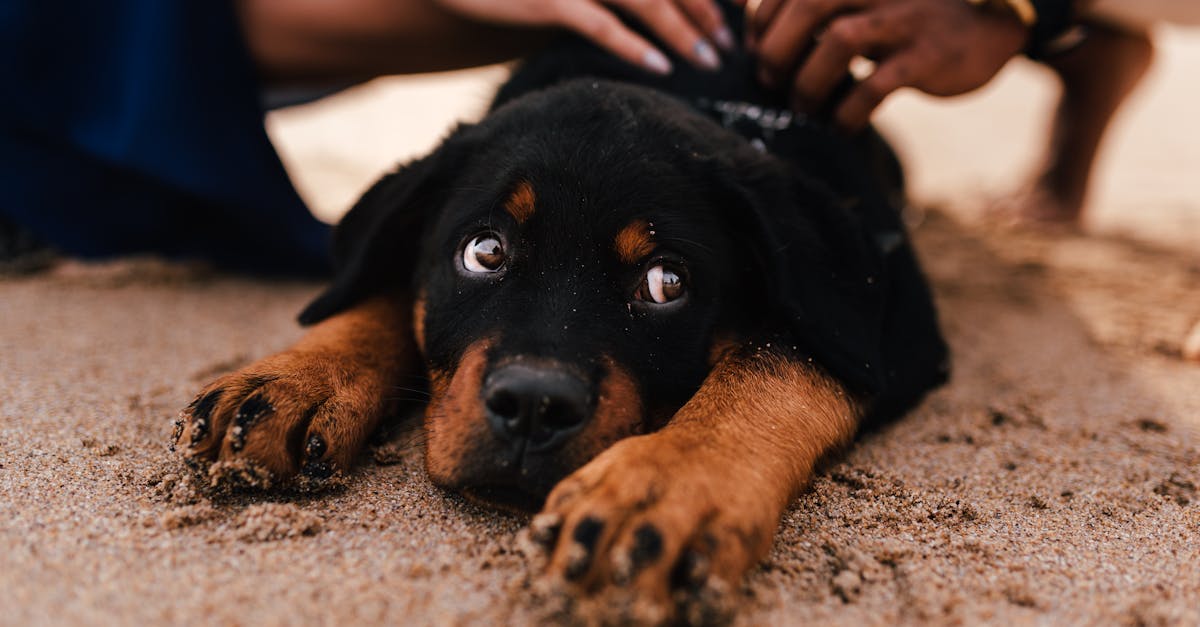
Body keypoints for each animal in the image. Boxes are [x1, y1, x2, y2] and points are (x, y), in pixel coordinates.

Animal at [174, 6, 950, 619]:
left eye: (666, 282)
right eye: (484, 250)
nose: (533, 406)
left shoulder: (889, 319)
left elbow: (778, 356)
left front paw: (662, 489)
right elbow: (389, 290)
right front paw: (294, 381)